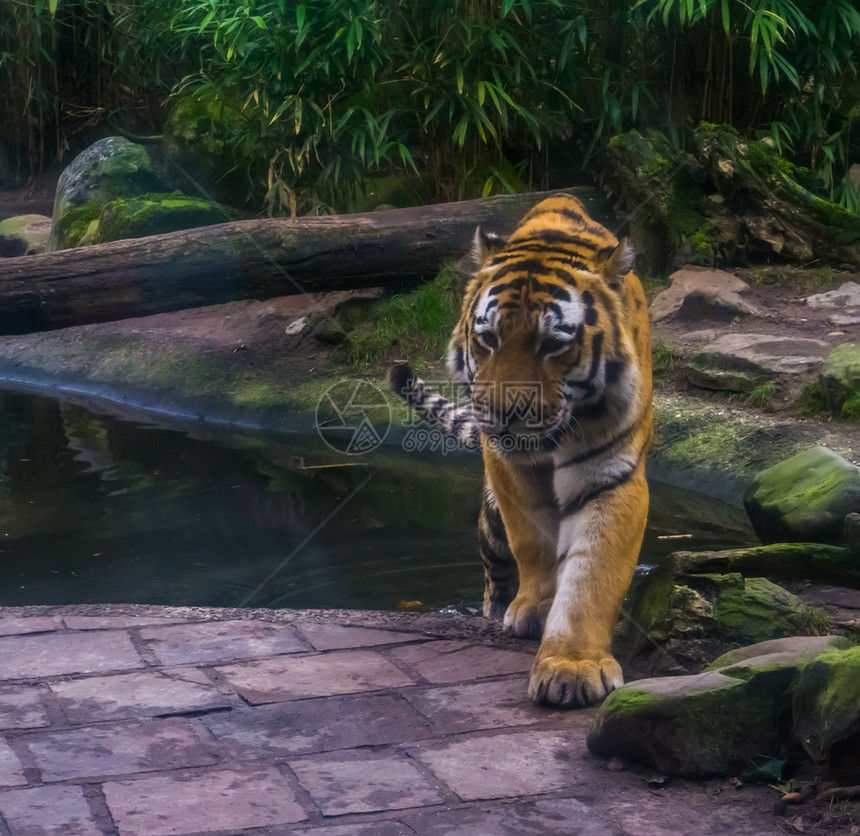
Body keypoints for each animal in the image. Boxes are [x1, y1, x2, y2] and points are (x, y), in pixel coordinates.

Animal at [390, 194, 652, 704]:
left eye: (552, 345)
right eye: (488, 339)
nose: (503, 413)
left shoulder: (613, 474)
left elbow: (593, 570)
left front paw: (573, 666)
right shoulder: (507, 464)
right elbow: (531, 537)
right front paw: (536, 608)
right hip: (490, 521)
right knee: (495, 564)